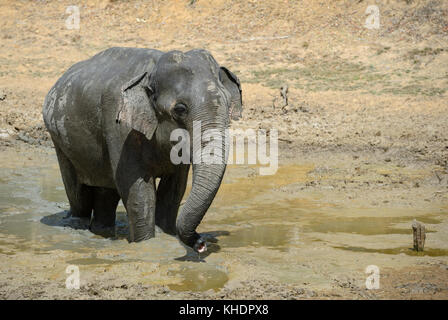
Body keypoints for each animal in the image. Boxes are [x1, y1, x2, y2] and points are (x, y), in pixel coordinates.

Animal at [43, 47, 242, 252]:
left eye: (228, 105)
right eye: (180, 109)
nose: (201, 243)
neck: (152, 72)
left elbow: (174, 189)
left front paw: (164, 235)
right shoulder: (120, 126)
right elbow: (137, 188)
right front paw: (147, 244)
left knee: (106, 194)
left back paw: (102, 232)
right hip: (60, 140)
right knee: (78, 195)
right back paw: (78, 230)